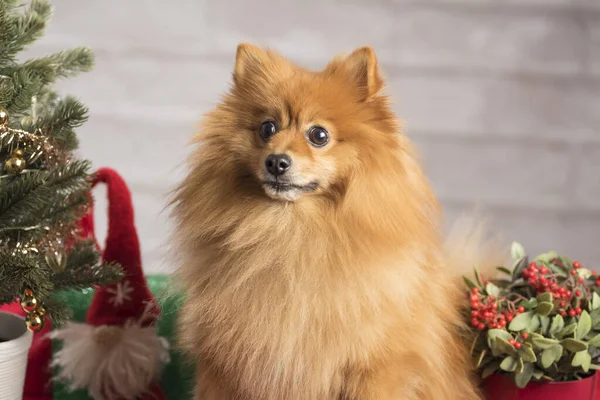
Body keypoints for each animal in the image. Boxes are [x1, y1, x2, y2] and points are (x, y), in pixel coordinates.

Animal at [170, 44, 502, 400]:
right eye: (266, 129)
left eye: (319, 135)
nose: (276, 161)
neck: (291, 235)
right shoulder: (227, 365)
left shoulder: (375, 367)